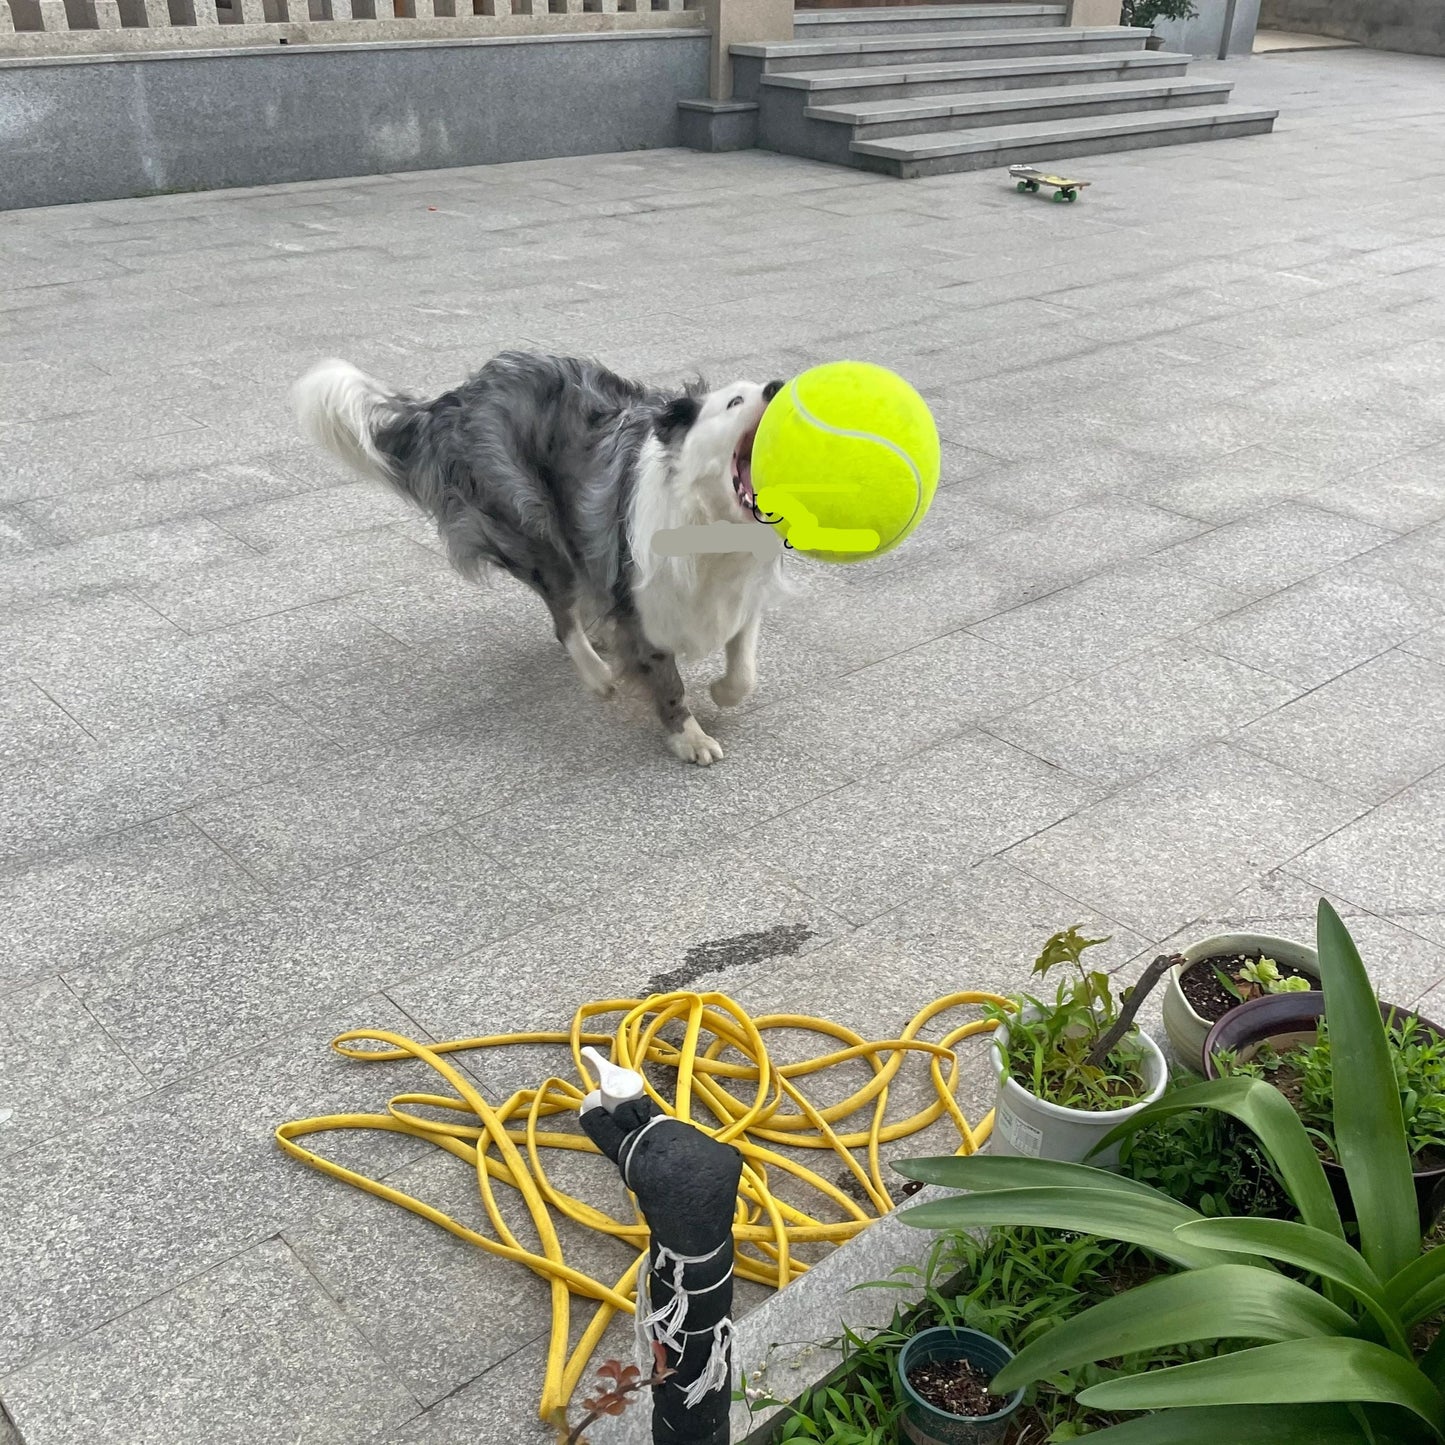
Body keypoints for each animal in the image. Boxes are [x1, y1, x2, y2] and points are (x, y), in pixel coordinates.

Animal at [293, 354, 786, 768]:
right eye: (734, 401)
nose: (778, 386)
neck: (712, 519)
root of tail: (457, 399)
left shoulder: (741, 591)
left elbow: (744, 668)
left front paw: (722, 692)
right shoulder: (638, 595)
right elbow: (666, 679)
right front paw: (689, 737)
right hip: (532, 525)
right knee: (561, 618)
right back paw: (597, 673)